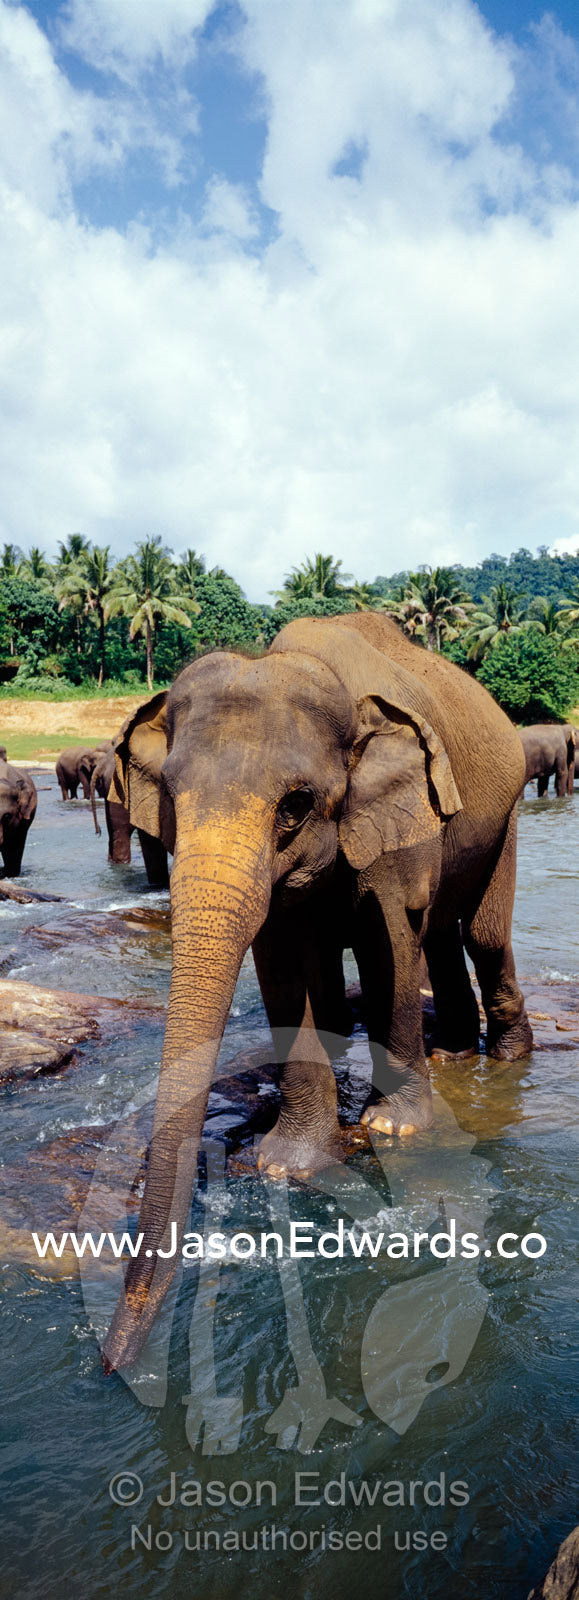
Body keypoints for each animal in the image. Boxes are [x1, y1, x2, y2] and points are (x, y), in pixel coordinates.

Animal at [102, 611, 532, 1374]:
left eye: (297, 804)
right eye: (172, 798)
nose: (110, 1363)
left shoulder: (399, 820)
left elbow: (390, 937)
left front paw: (394, 1129)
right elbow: (281, 961)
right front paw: (288, 1164)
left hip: (502, 812)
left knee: (476, 933)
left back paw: (505, 1057)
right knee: (441, 935)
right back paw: (453, 1051)